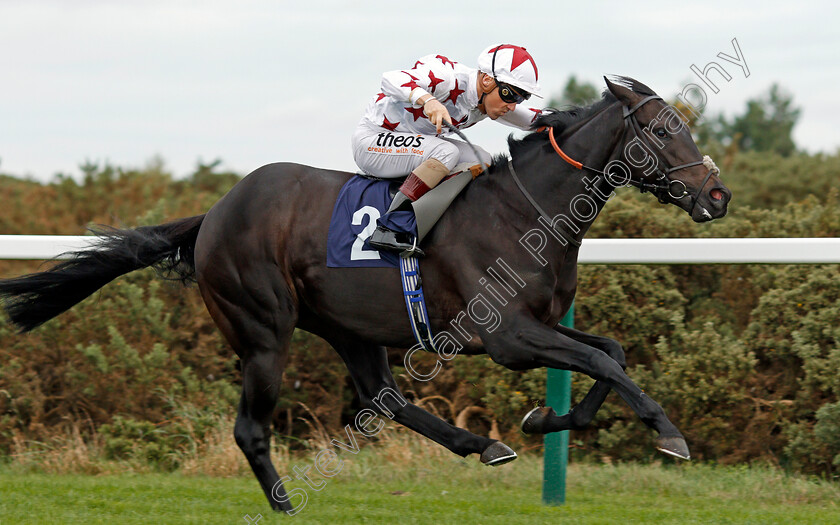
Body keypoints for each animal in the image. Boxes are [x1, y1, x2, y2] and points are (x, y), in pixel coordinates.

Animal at [0, 75, 728, 510]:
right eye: (665, 130)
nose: (717, 195)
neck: (527, 211)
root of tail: (214, 213)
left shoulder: (540, 325)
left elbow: (612, 352)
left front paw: (541, 421)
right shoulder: (508, 336)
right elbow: (604, 358)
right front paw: (669, 434)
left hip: (351, 327)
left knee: (382, 397)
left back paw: (481, 445)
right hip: (263, 330)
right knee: (252, 426)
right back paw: (283, 501)